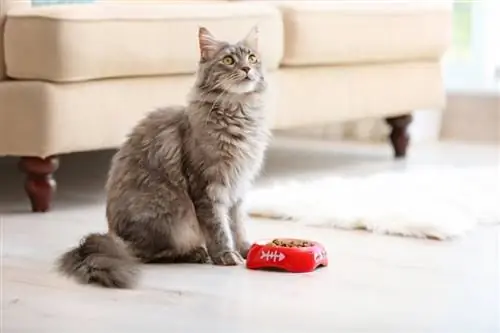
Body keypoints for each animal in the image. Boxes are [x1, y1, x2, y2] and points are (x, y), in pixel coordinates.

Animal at [55, 26, 270, 288]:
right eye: (229, 60)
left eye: (252, 58)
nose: (247, 68)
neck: (239, 112)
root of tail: (114, 237)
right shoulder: (208, 187)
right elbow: (219, 227)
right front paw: (226, 255)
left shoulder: (239, 187)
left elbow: (238, 225)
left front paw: (246, 249)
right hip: (170, 218)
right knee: (146, 255)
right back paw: (196, 253)